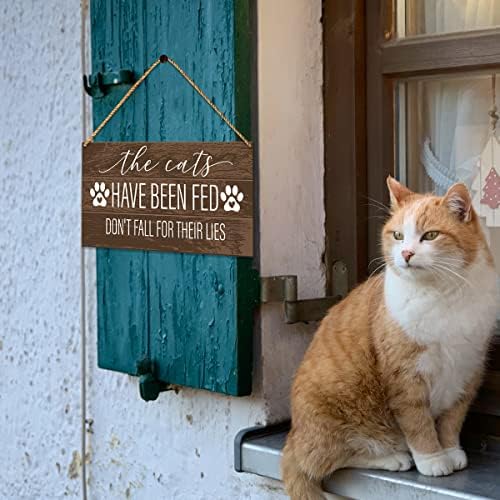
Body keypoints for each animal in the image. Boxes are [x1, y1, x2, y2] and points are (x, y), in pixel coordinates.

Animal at [284, 178, 498, 498]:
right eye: (398, 235)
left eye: (430, 235)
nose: (406, 254)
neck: (442, 294)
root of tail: (294, 435)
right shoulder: (405, 377)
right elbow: (418, 424)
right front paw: (433, 459)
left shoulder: (468, 370)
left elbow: (452, 419)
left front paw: (450, 450)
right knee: (324, 460)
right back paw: (392, 458)